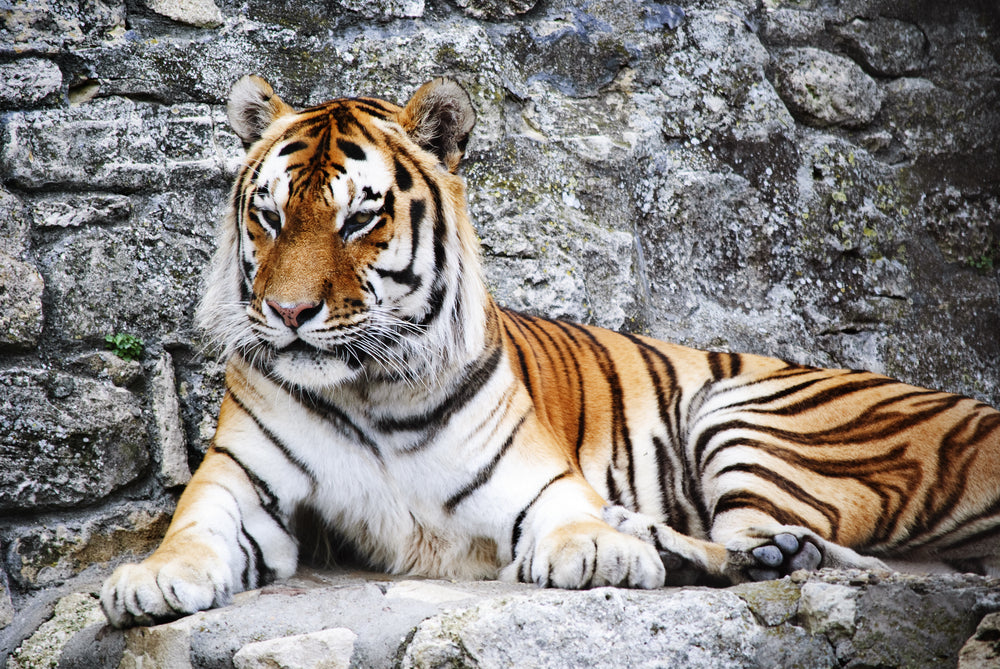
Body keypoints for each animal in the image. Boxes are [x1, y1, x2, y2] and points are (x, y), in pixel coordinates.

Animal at [99, 77, 1000, 628]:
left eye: (359, 218)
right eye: (271, 215)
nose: (287, 313)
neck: (369, 389)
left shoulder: (538, 482)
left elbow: (569, 519)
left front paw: (596, 548)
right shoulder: (239, 484)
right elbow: (190, 529)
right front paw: (147, 577)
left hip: (747, 417)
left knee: (839, 554)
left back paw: (728, 548)